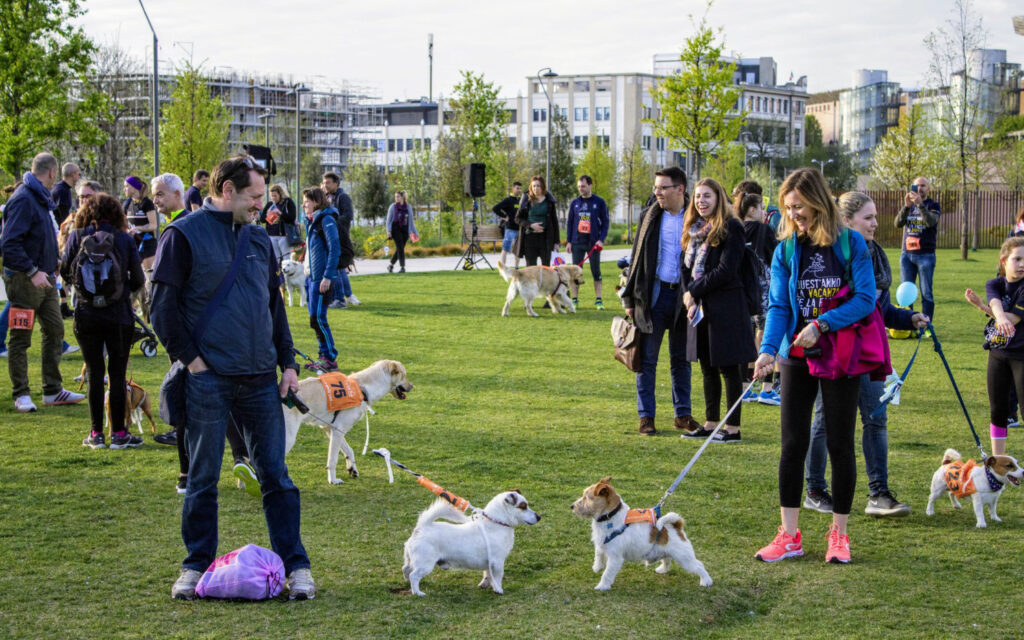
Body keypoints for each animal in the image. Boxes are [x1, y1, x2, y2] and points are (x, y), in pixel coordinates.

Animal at [280, 360, 411, 483]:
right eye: (404, 375)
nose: (412, 386)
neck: (363, 389)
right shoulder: (338, 431)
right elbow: (332, 460)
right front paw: (333, 480)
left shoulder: (332, 429)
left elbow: (349, 450)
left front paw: (352, 469)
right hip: (289, 439)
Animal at [569, 477, 712, 589]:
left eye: (587, 497)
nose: (572, 506)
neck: (611, 518)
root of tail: (677, 526)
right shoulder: (601, 543)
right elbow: (598, 553)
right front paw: (597, 567)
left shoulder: (615, 557)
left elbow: (607, 573)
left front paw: (602, 586)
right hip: (668, 552)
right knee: (667, 559)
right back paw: (662, 569)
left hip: (685, 558)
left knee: (699, 565)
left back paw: (706, 581)